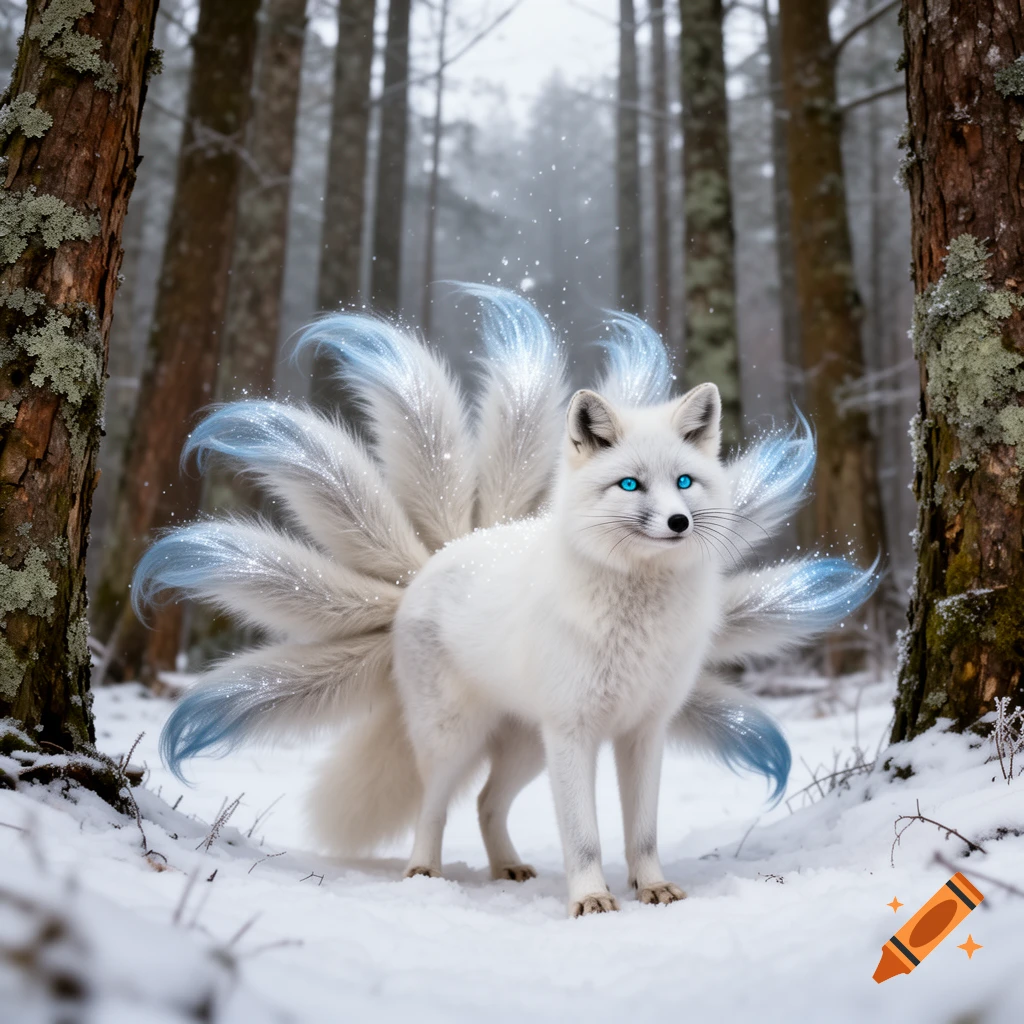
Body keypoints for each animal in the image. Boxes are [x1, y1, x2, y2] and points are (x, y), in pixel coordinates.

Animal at [133, 284, 877, 917]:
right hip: (459, 738)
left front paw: (653, 889)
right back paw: (423, 873)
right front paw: (591, 899)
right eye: (630, 485)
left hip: (523, 747)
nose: (678, 523)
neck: (634, 616)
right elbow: (584, 835)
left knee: (489, 803)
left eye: (686, 482)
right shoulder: (575, 732)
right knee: (436, 805)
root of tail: (438, 559)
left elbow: (641, 832)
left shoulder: (643, 731)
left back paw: (508, 867)